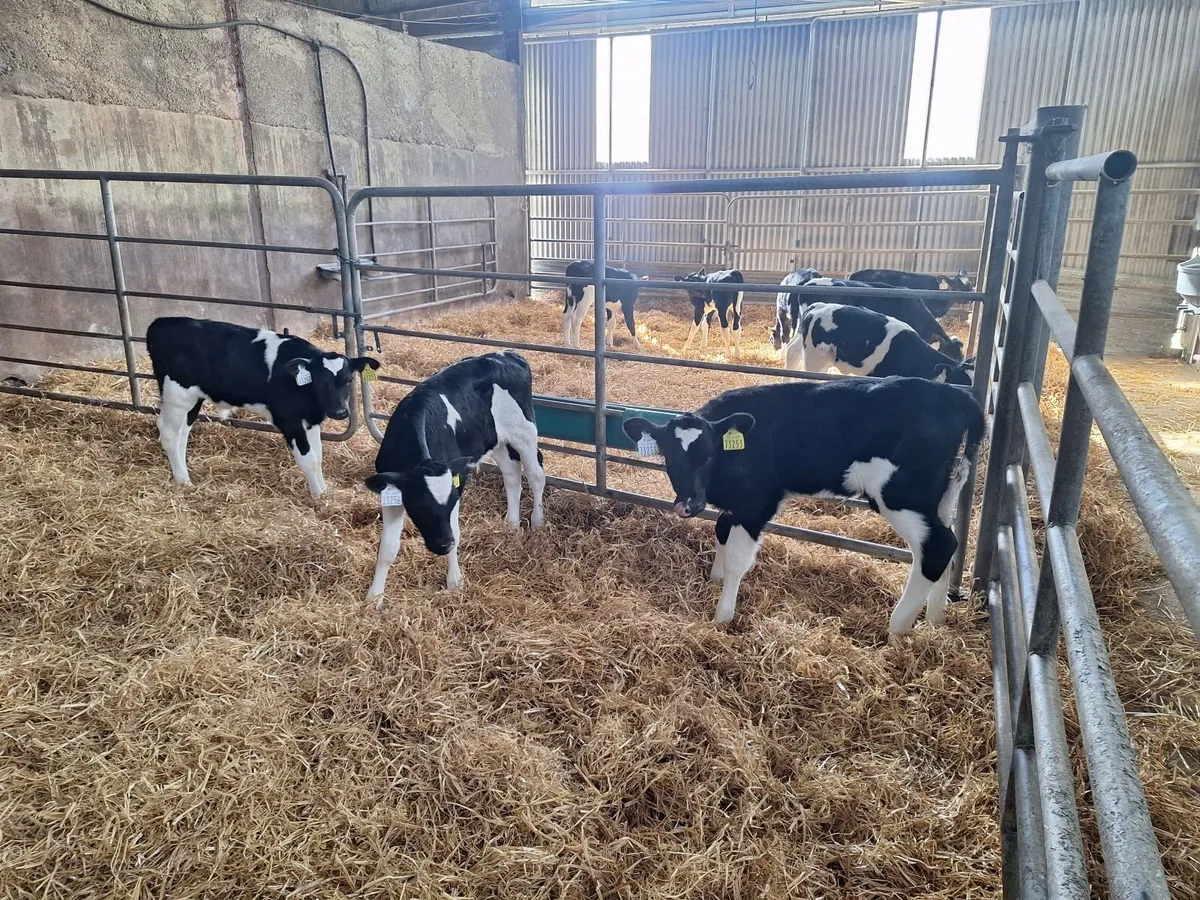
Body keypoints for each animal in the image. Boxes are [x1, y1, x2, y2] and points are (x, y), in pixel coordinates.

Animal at [145, 316, 380, 497]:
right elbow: (309, 460)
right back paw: (181, 479)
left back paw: (184, 474)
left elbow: (318, 456)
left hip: (193, 398)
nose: (340, 412)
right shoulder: (289, 420)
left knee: (182, 433)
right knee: (168, 433)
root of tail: (161, 323)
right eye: (321, 382)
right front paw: (319, 497)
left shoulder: (310, 421)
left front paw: (323, 491)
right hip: (177, 394)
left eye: (349, 380)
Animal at [363, 350, 546, 608]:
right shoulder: (392, 493)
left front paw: (455, 581)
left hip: (525, 432)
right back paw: (511, 524)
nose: (443, 544)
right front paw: (375, 597)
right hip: (496, 440)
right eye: (419, 507)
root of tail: (506, 354)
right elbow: (387, 548)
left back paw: (537, 521)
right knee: (511, 475)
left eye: (450, 503)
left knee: (535, 475)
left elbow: (456, 532)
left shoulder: (456, 484)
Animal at [622, 376, 983, 633]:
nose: (690, 505)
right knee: (944, 546)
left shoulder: (757, 504)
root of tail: (954, 395)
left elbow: (737, 559)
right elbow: (721, 531)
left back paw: (897, 628)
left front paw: (723, 615)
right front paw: (714, 579)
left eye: (710, 454)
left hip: (901, 494)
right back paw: (934, 621)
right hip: (940, 494)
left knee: (938, 546)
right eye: (670, 457)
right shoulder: (735, 505)